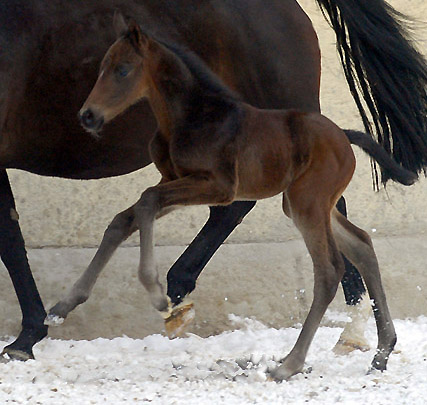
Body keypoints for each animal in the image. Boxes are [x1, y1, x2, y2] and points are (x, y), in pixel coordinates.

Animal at [0, 0, 427, 360]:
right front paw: (52, 315)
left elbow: (14, 238)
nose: (87, 116)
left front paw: (28, 335)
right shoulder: (182, 179)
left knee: (325, 231)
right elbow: (126, 216)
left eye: (121, 70)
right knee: (327, 227)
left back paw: (350, 332)